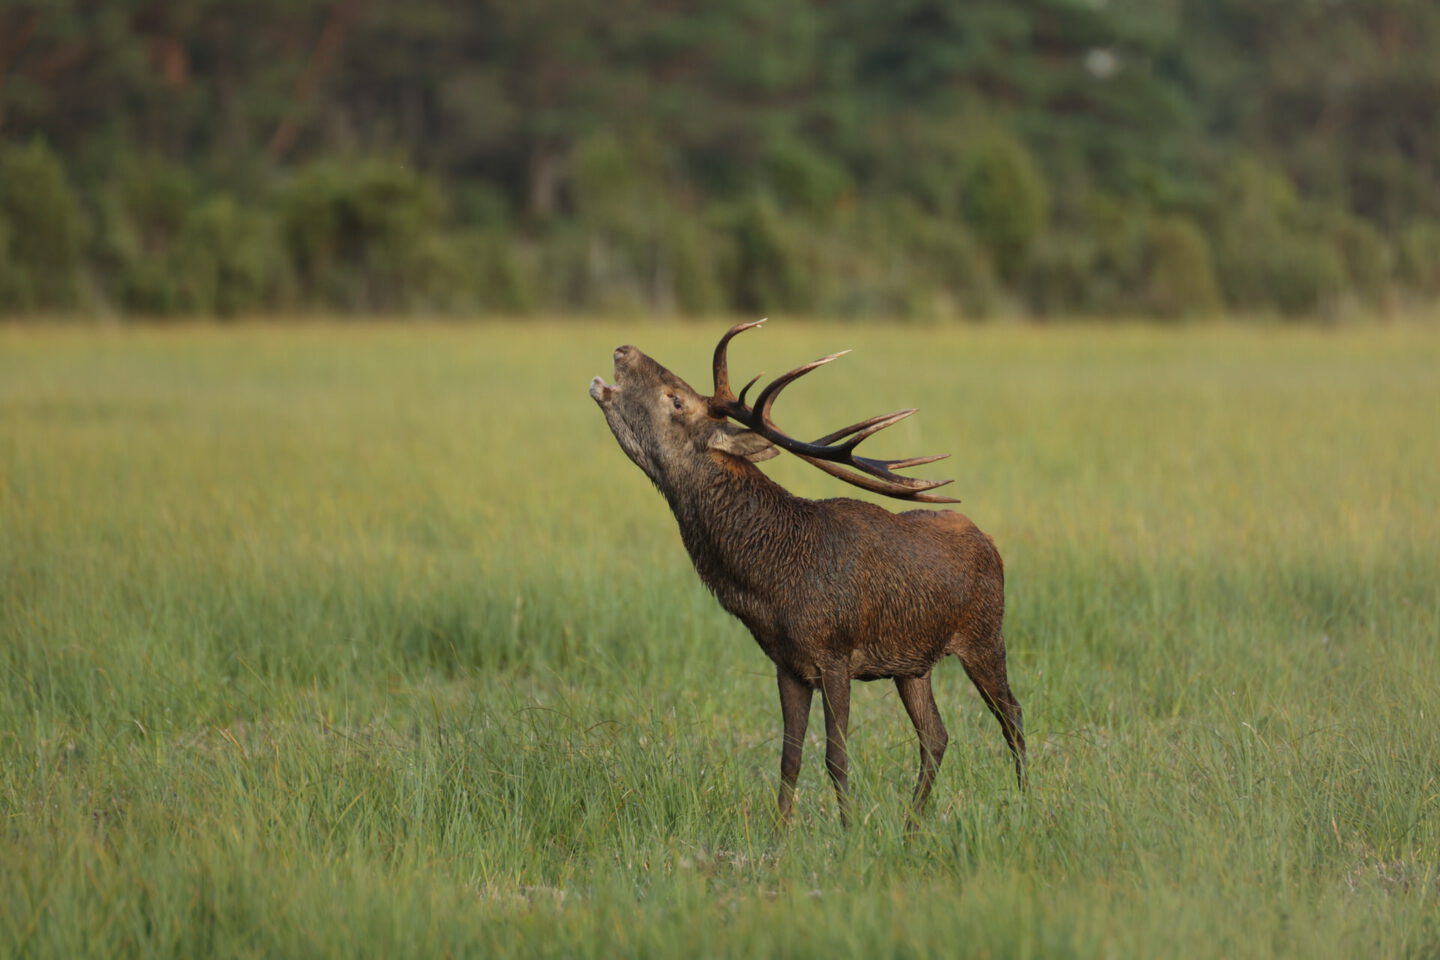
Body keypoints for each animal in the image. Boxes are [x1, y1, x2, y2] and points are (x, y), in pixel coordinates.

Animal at [588, 319, 1025, 827]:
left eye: (676, 399)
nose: (624, 349)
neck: (770, 582)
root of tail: (989, 541)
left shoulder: (836, 654)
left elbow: (836, 756)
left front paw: (850, 832)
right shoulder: (787, 664)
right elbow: (789, 759)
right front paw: (780, 836)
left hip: (984, 636)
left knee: (1012, 716)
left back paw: (1026, 802)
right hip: (913, 664)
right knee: (936, 736)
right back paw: (911, 829)